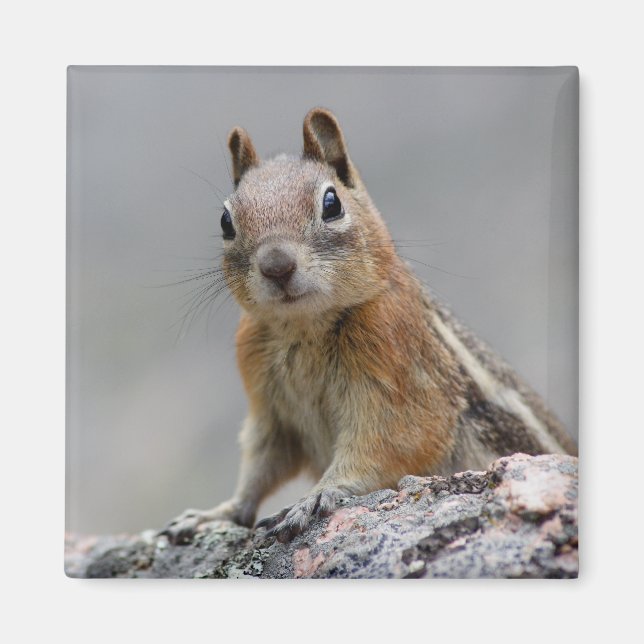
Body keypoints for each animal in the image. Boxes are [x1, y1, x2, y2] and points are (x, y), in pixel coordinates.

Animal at [162, 107, 577, 544]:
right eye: (226, 220)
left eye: (331, 203)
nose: (277, 265)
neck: (303, 327)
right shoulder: (270, 412)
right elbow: (259, 468)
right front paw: (214, 514)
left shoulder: (399, 382)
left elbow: (386, 447)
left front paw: (317, 496)